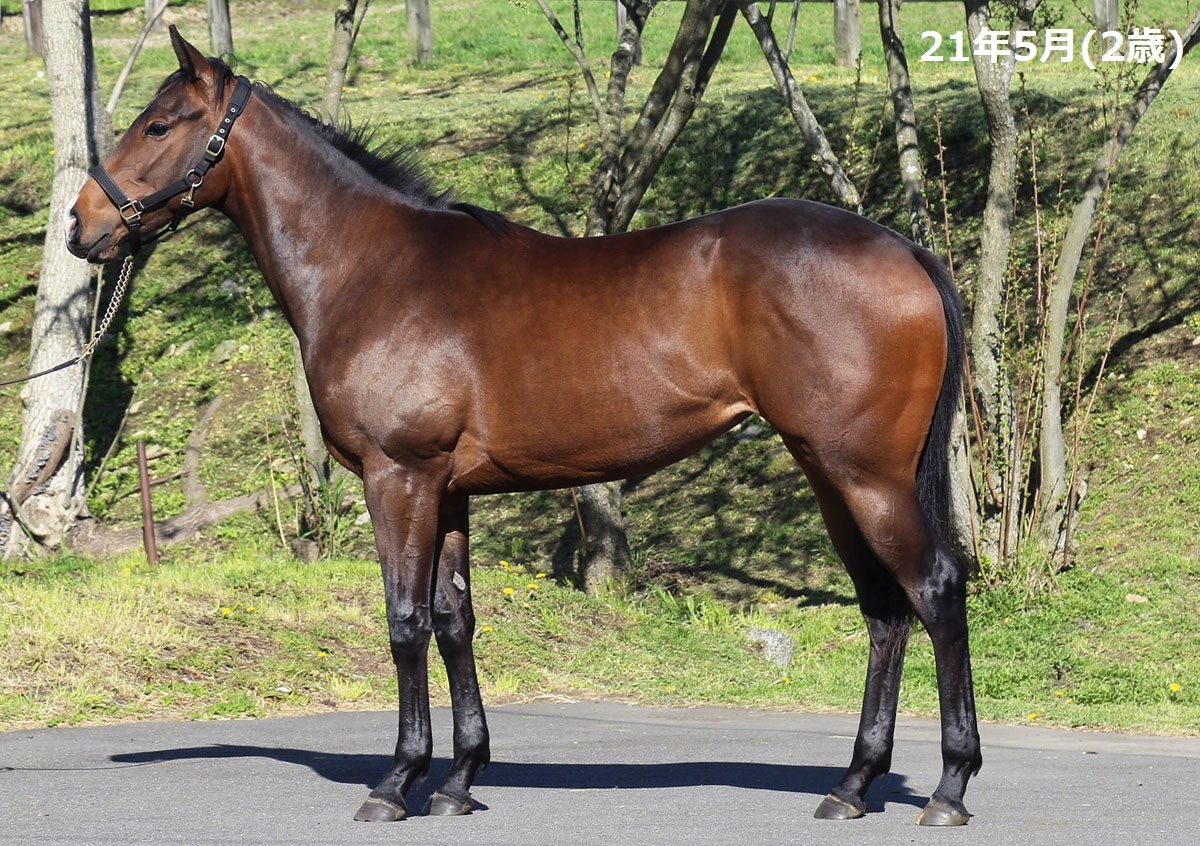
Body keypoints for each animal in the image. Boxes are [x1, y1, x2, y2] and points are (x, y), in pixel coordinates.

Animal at [67, 28, 980, 827]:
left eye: (158, 124)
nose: (82, 226)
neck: (372, 268)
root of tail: (905, 249)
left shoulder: (399, 477)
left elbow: (403, 622)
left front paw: (396, 783)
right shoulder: (450, 490)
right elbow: (454, 622)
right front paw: (458, 780)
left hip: (867, 475)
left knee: (934, 590)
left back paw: (948, 788)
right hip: (831, 472)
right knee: (885, 609)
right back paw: (852, 785)